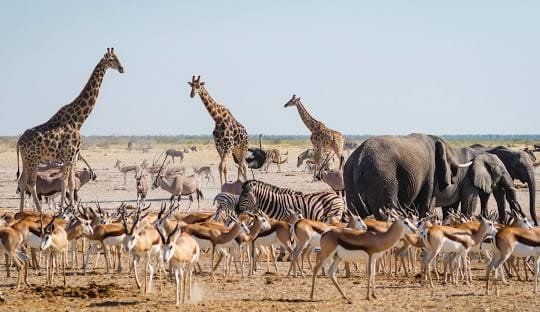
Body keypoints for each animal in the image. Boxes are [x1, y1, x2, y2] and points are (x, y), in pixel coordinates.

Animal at [16, 47, 124, 212]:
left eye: (118, 58)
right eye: (112, 59)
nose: (122, 69)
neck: (78, 120)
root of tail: (19, 142)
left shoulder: (73, 156)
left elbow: (71, 183)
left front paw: (72, 209)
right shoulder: (70, 154)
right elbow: (64, 182)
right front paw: (63, 210)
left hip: (26, 159)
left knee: (22, 182)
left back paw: (21, 212)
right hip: (33, 159)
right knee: (31, 183)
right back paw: (39, 211)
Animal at [342, 133, 472, 218]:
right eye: (449, 159)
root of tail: (360, 157)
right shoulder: (431, 171)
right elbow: (424, 206)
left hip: (349, 176)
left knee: (355, 214)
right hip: (382, 177)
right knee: (386, 213)